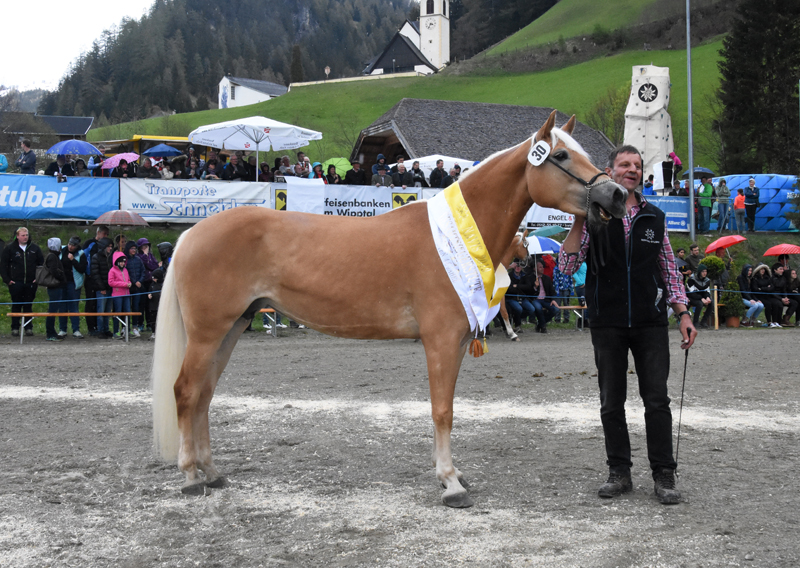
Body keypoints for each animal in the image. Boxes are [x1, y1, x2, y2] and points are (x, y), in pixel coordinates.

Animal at [150, 110, 624, 506]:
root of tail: (191, 234)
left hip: (231, 328)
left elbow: (448, 408)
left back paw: (211, 471)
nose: (617, 194)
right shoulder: (440, 341)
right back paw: (191, 476)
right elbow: (442, 409)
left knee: (205, 394)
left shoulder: (455, 343)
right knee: (186, 391)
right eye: (560, 155)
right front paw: (450, 483)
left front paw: (453, 475)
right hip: (209, 332)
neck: (458, 234)